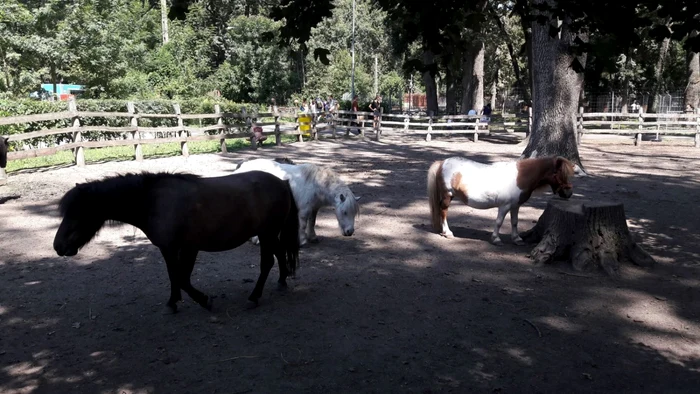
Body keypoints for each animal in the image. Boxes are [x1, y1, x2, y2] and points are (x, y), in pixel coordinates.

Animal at [52, 171, 298, 312]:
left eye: (77, 213)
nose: (58, 246)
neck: (153, 202)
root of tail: (282, 182)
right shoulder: (174, 248)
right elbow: (175, 276)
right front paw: (174, 302)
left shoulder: (184, 248)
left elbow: (181, 278)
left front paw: (203, 300)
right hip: (269, 234)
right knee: (279, 253)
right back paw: (282, 281)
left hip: (267, 233)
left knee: (267, 262)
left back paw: (254, 297)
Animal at [232, 158, 360, 246]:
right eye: (344, 212)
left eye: (354, 213)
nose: (350, 232)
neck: (315, 184)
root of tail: (241, 167)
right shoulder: (304, 210)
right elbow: (302, 225)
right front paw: (302, 241)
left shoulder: (314, 209)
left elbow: (312, 222)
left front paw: (313, 237)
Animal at [426, 155, 576, 245]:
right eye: (560, 174)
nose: (569, 193)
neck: (520, 177)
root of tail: (442, 162)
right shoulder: (505, 206)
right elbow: (499, 222)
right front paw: (496, 238)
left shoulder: (516, 206)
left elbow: (514, 222)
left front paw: (517, 239)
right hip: (448, 195)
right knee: (443, 212)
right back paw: (448, 233)